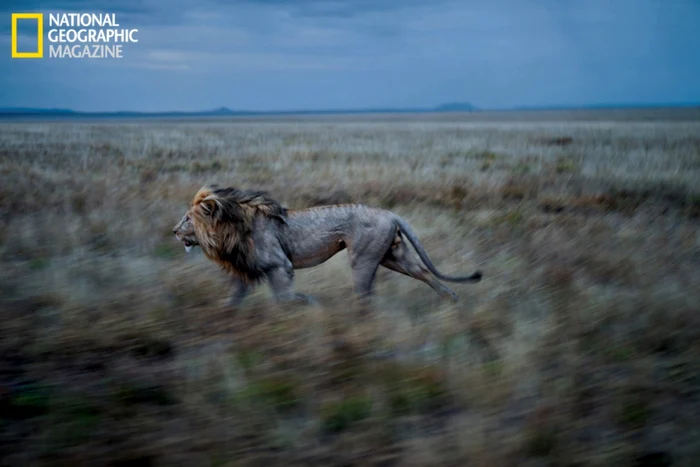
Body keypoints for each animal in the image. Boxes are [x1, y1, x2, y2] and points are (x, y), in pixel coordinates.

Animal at [174, 186, 482, 308]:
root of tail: (390, 213)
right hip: (394, 257)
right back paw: (452, 300)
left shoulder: (279, 265)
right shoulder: (245, 271)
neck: (227, 229)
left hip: (363, 259)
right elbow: (233, 300)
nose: (174, 231)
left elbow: (285, 298)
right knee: (425, 273)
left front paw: (311, 304)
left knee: (366, 294)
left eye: (187, 218)